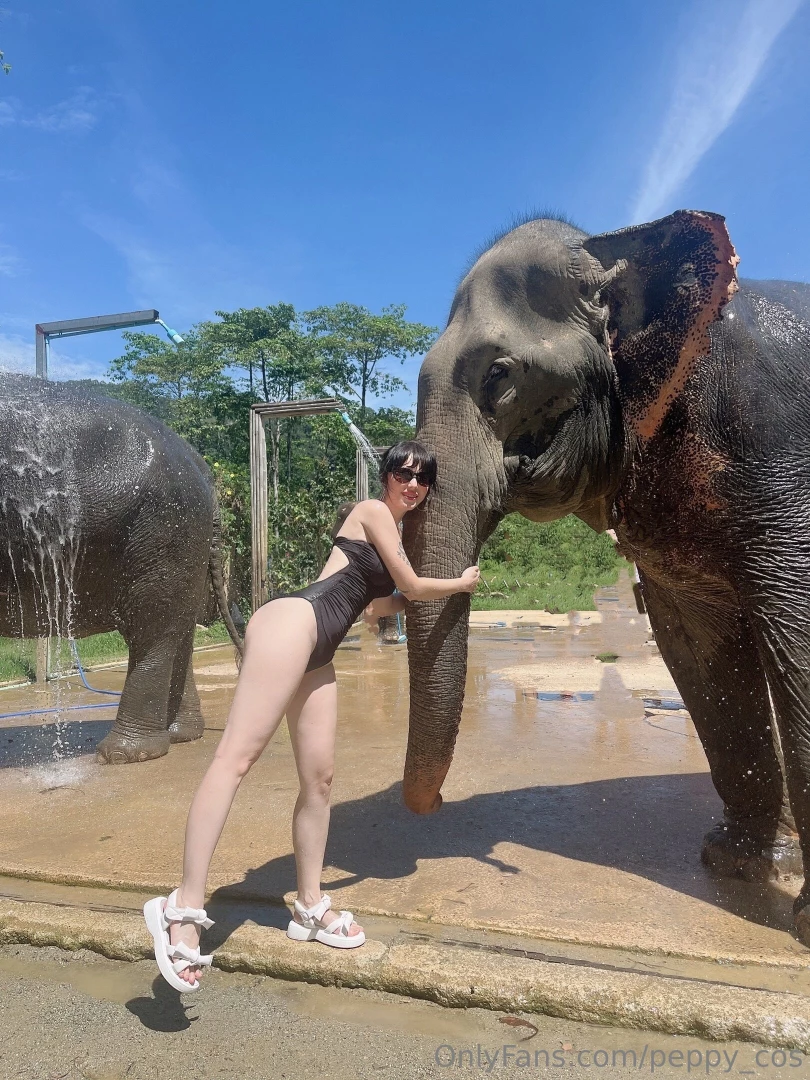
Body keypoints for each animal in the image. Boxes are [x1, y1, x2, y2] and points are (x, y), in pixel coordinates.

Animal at [0, 372, 243, 764]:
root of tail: (201, 467)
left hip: (162, 528)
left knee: (151, 630)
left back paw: (124, 754)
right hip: (181, 534)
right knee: (178, 631)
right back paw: (180, 735)